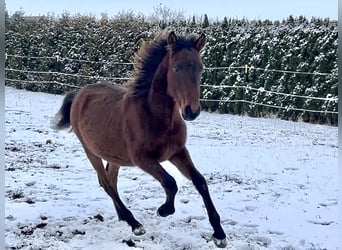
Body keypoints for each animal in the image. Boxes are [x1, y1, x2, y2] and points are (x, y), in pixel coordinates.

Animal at [54, 31, 227, 248]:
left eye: (201, 68)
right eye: (176, 67)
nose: (191, 111)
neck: (157, 116)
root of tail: (79, 94)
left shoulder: (178, 152)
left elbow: (200, 182)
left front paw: (219, 234)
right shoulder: (142, 159)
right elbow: (170, 182)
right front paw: (163, 210)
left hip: (114, 155)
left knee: (111, 180)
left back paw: (123, 217)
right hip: (91, 151)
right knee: (105, 182)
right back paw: (134, 223)